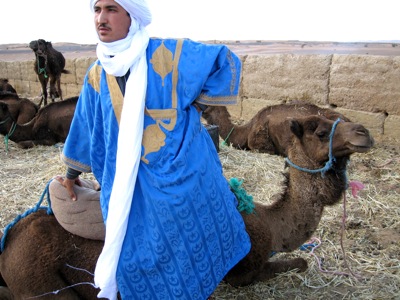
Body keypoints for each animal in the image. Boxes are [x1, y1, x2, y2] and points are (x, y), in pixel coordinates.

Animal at [0, 114, 376, 298]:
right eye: (319, 130)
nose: (364, 133)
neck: (270, 224)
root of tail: (9, 241)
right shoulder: (242, 273)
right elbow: (296, 262)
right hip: (40, 284)